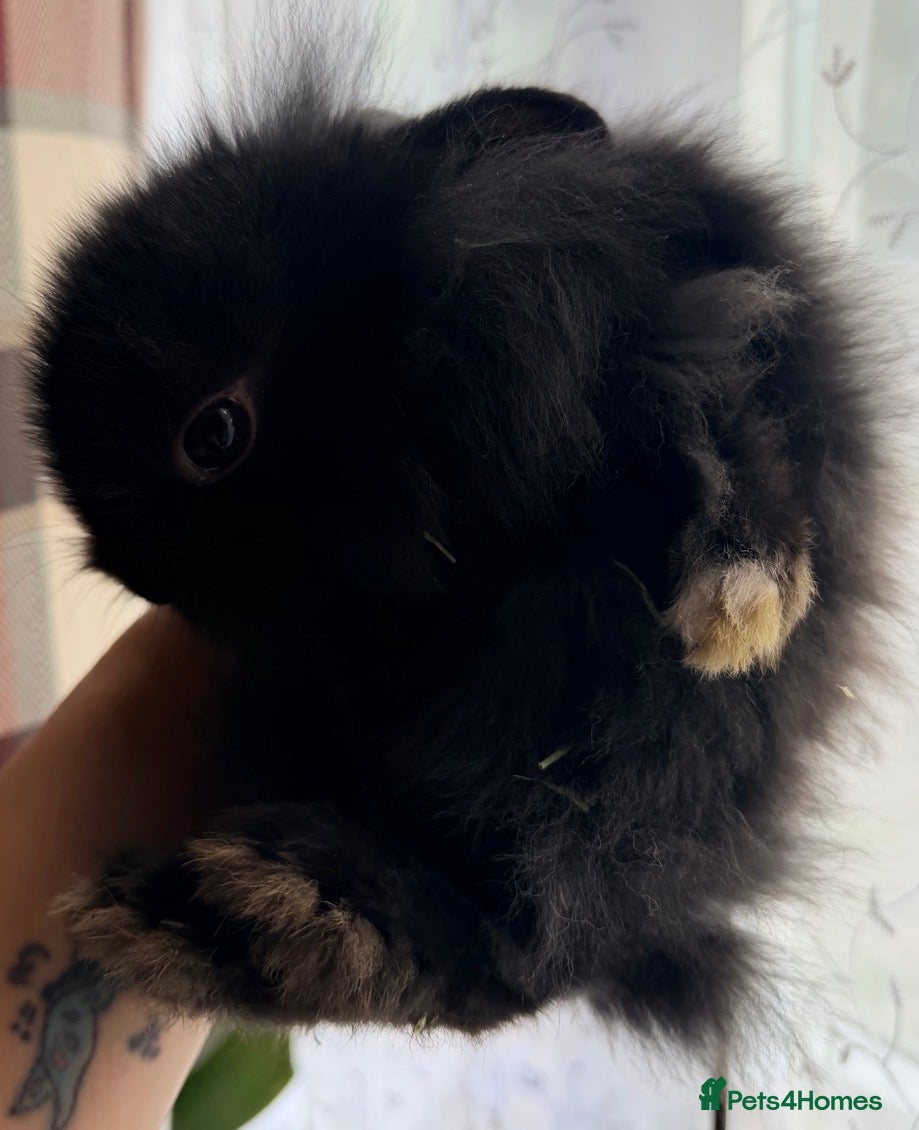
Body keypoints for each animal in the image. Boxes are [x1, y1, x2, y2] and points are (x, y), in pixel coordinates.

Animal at [28, 70, 897, 1060]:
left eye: (214, 434)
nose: (141, 581)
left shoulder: (714, 323)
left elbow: (727, 413)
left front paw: (740, 608)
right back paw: (220, 922)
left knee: (527, 939)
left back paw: (255, 917)